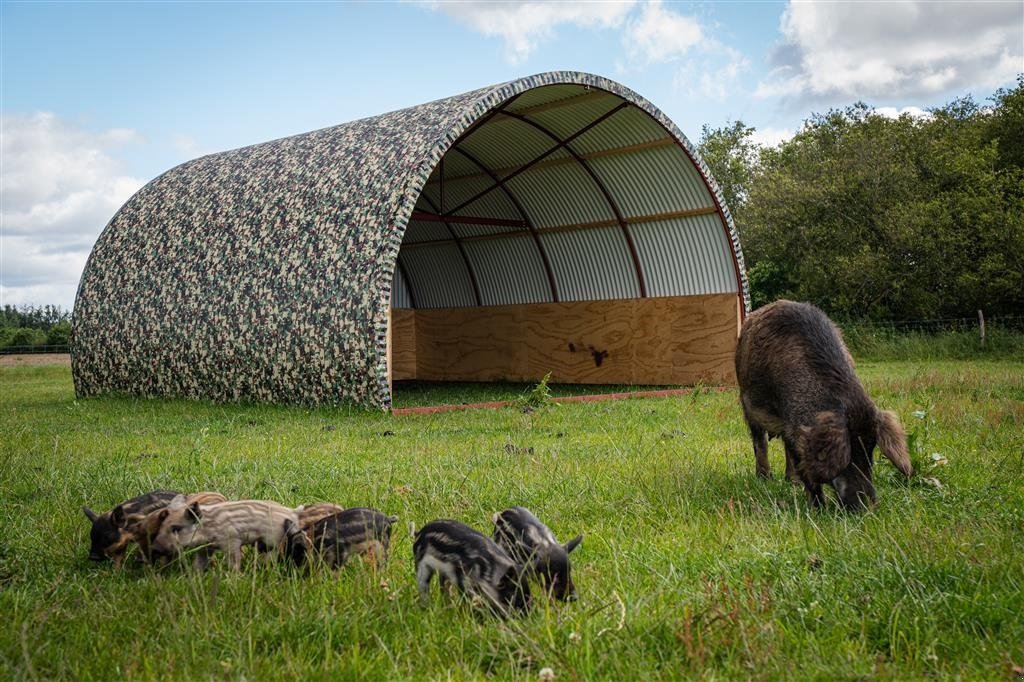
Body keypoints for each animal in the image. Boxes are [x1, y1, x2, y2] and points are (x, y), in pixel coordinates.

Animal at [737, 301, 913, 507]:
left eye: (871, 449)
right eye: (847, 456)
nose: (869, 506)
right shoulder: (794, 428)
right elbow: (806, 470)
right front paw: (818, 508)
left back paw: (792, 482)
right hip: (748, 405)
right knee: (760, 442)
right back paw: (764, 479)